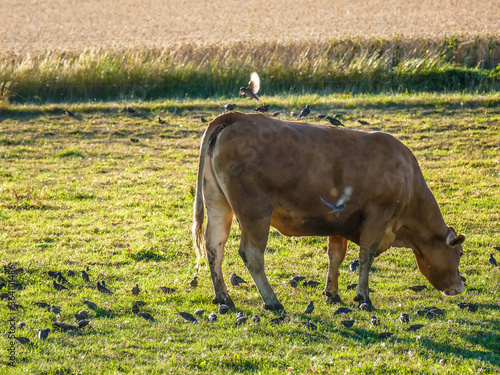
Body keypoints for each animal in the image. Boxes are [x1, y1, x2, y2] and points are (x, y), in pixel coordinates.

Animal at [192, 111, 464, 312]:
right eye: (459, 253)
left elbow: (336, 255)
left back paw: (223, 297)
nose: (460, 285)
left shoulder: (340, 221)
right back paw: (272, 301)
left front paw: (332, 292)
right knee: (251, 253)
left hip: (218, 203)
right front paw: (363, 297)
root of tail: (239, 117)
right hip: (254, 212)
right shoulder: (378, 215)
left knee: (214, 245)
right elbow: (366, 256)